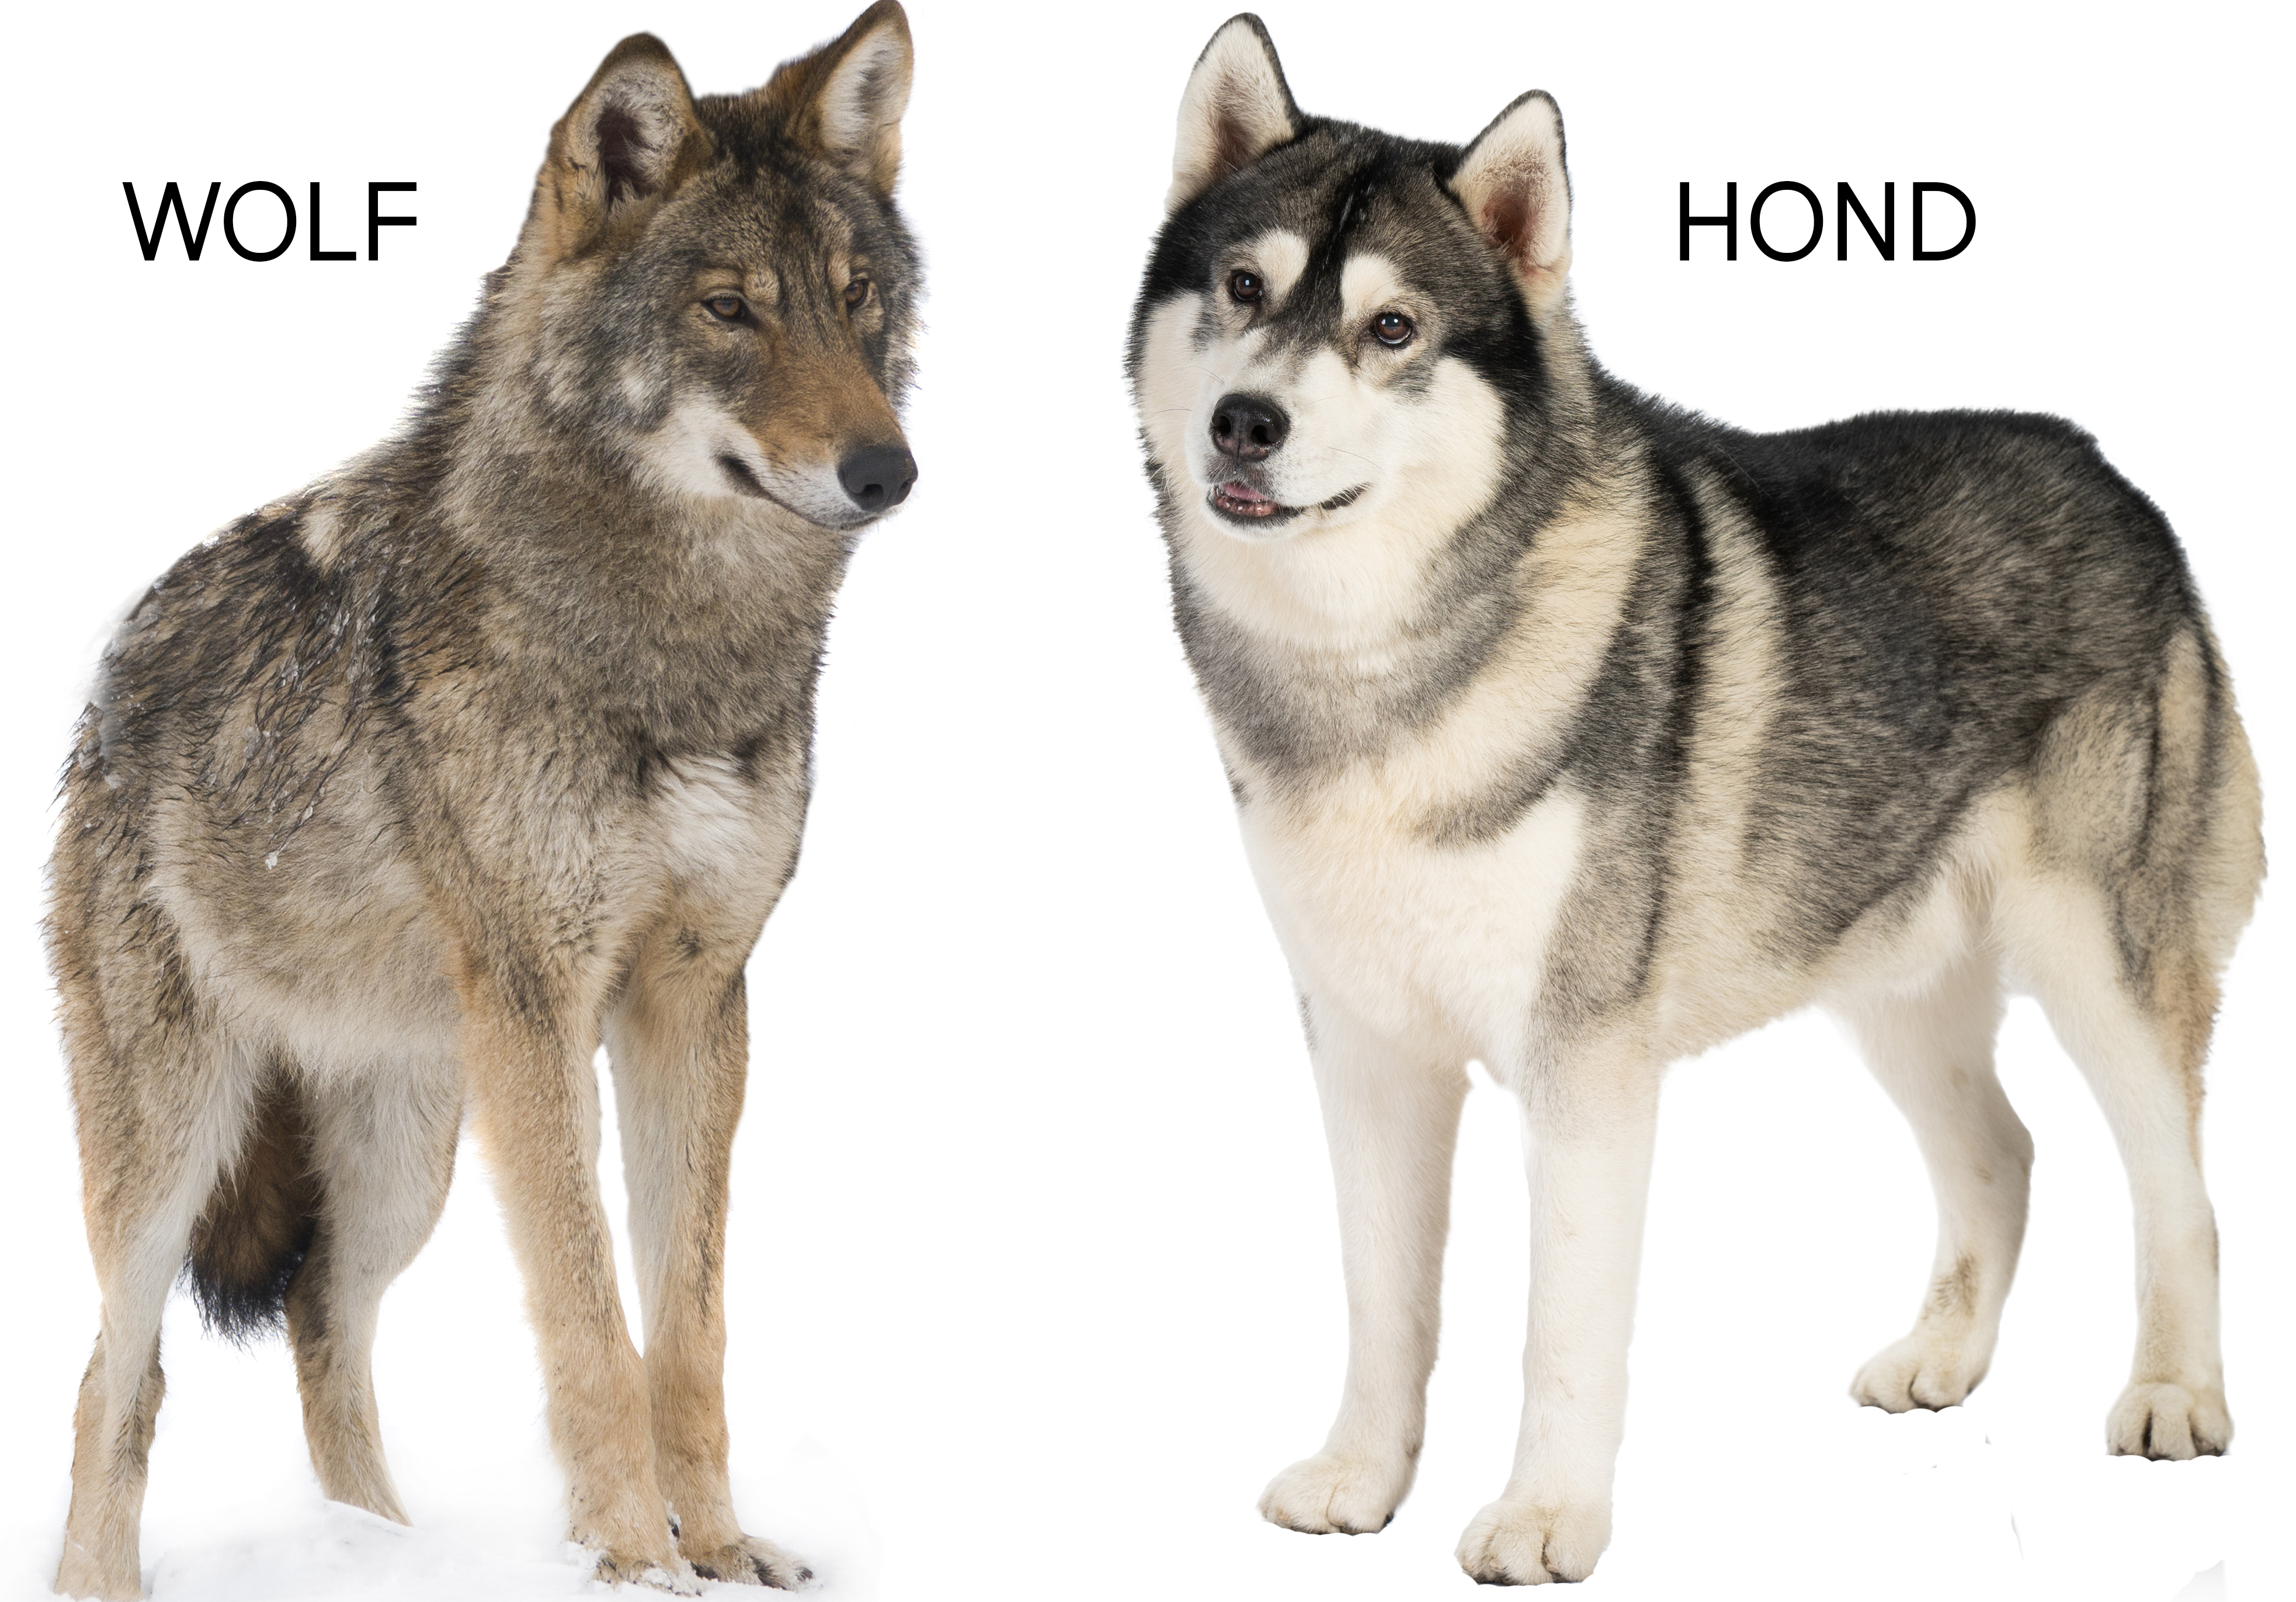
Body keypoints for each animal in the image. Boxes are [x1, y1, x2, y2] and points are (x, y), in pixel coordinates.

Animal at [48, 8, 918, 1597]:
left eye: (855, 298)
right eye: (728, 309)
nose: (887, 470)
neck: (667, 651)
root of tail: (108, 677)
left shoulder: (693, 999)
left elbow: (686, 1329)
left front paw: (721, 1548)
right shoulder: (540, 1006)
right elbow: (589, 1326)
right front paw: (636, 1560)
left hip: (410, 1155)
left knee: (323, 1325)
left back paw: (382, 1550)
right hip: (179, 1152)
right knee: (113, 1376)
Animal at [1127, 14, 2262, 1586]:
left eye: (1393, 328)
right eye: (1242, 287)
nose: (1247, 421)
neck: (1380, 667)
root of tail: (2112, 473)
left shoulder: (1582, 1067)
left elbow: (1558, 1329)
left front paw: (1545, 1518)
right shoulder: (1365, 1046)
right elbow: (1381, 1296)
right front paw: (1362, 1478)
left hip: (2102, 962)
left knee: (2180, 1188)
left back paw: (2172, 1392)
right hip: (1889, 975)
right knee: (2003, 1151)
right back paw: (1942, 1357)